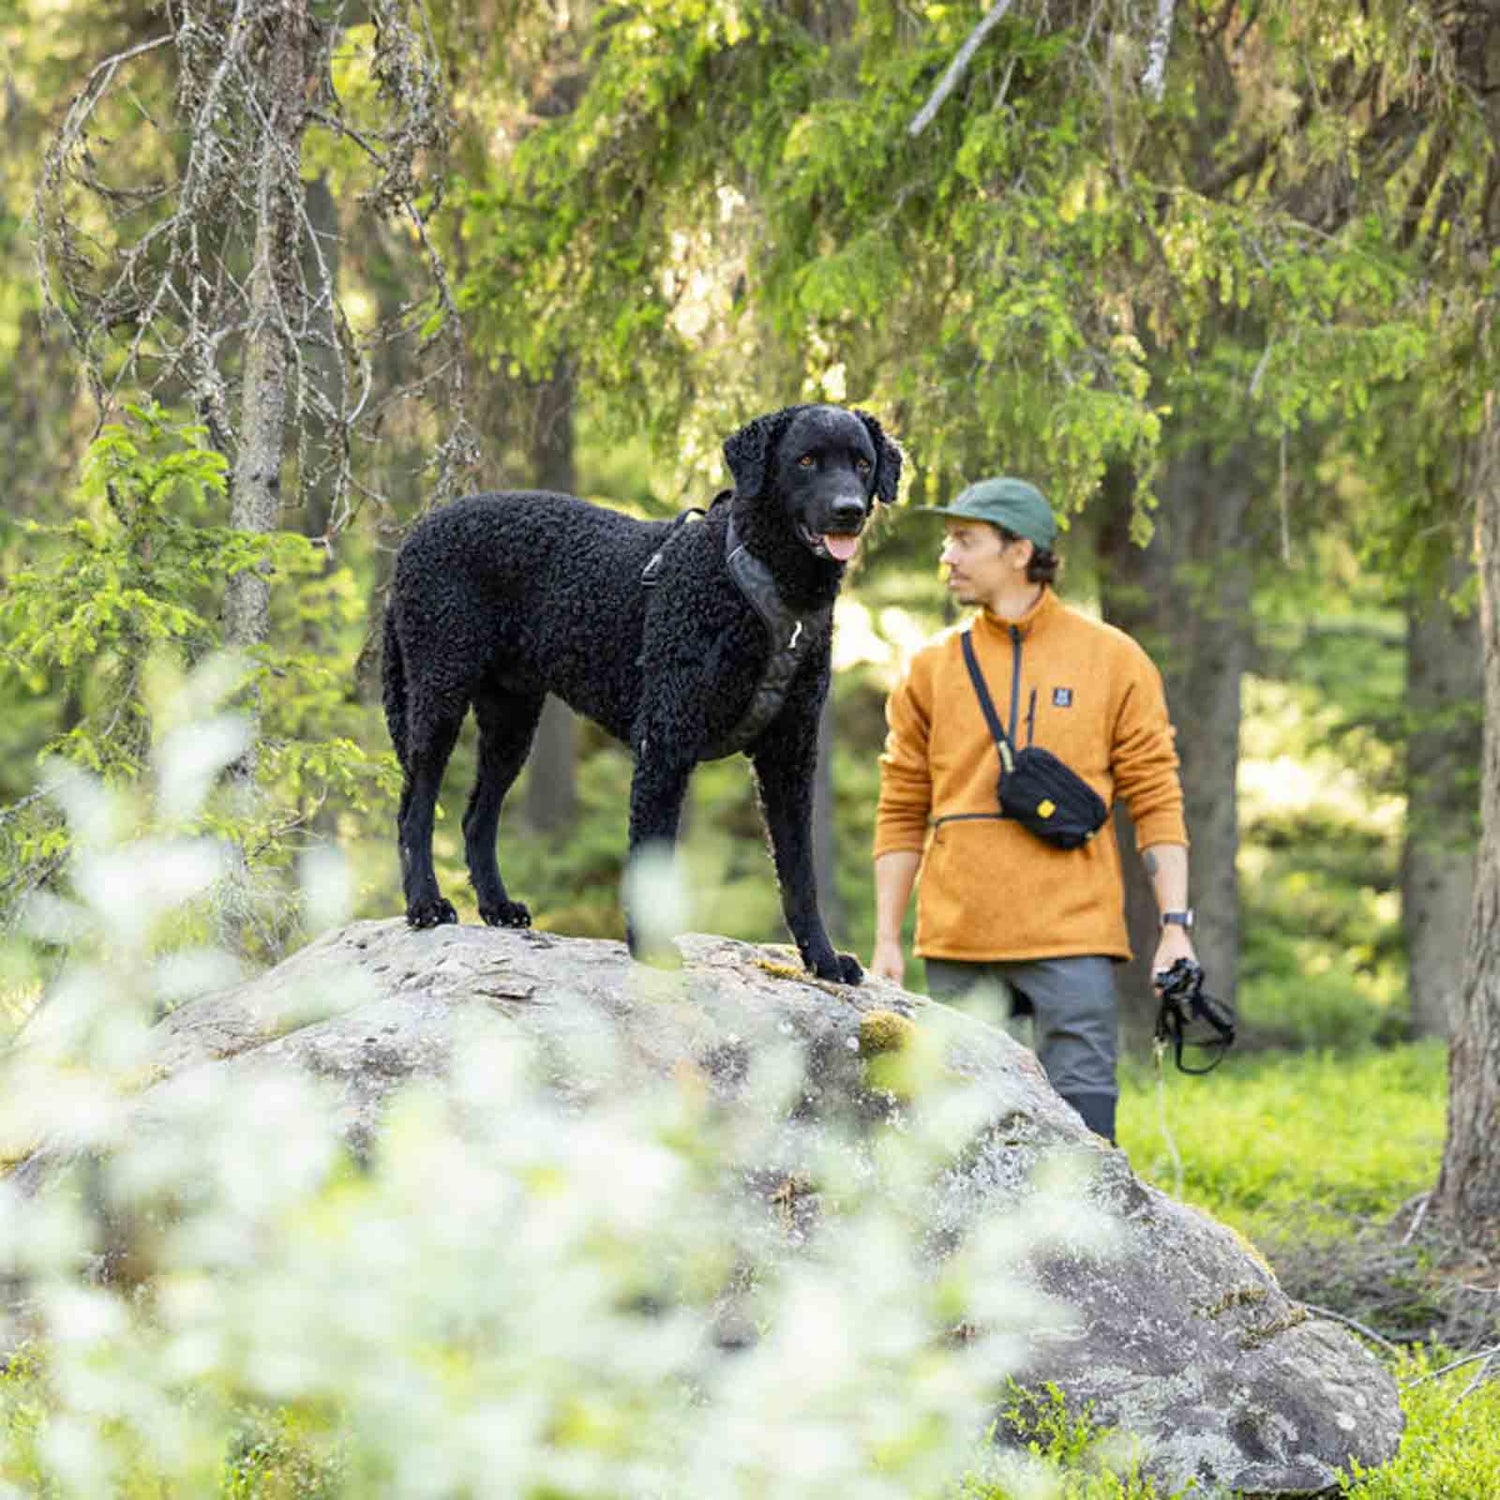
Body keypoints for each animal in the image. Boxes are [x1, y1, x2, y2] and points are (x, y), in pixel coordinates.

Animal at [387, 405, 900, 984]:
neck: (766, 587)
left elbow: (799, 872)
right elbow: (652, 855)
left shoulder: (789, 755)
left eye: (862, 463)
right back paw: (425, 904)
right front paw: (651, 950)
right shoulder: (665, 741)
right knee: (414, 810)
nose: (848, 512)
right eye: (807, 460)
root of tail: (415, 535)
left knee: (478, 816)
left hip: (511, 718)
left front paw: (823, 958)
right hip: (438, 692)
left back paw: (498, 906)